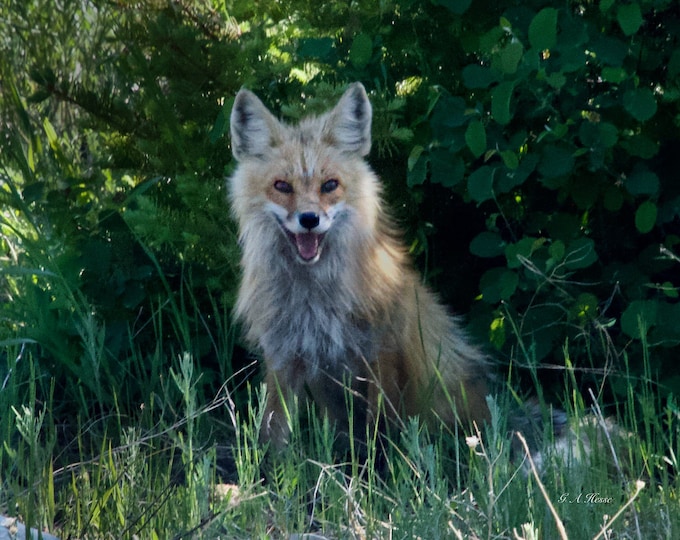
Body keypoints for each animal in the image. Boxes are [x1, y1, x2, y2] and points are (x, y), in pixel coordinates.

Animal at [228, 82, 491, 448]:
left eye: (329, 185)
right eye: (282, 186)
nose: (309, 219)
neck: (314, 301)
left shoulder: (381, 351)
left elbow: (378, 433)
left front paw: (377, 464)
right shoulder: (281, 354)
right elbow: (273, 433)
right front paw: (272, 465)